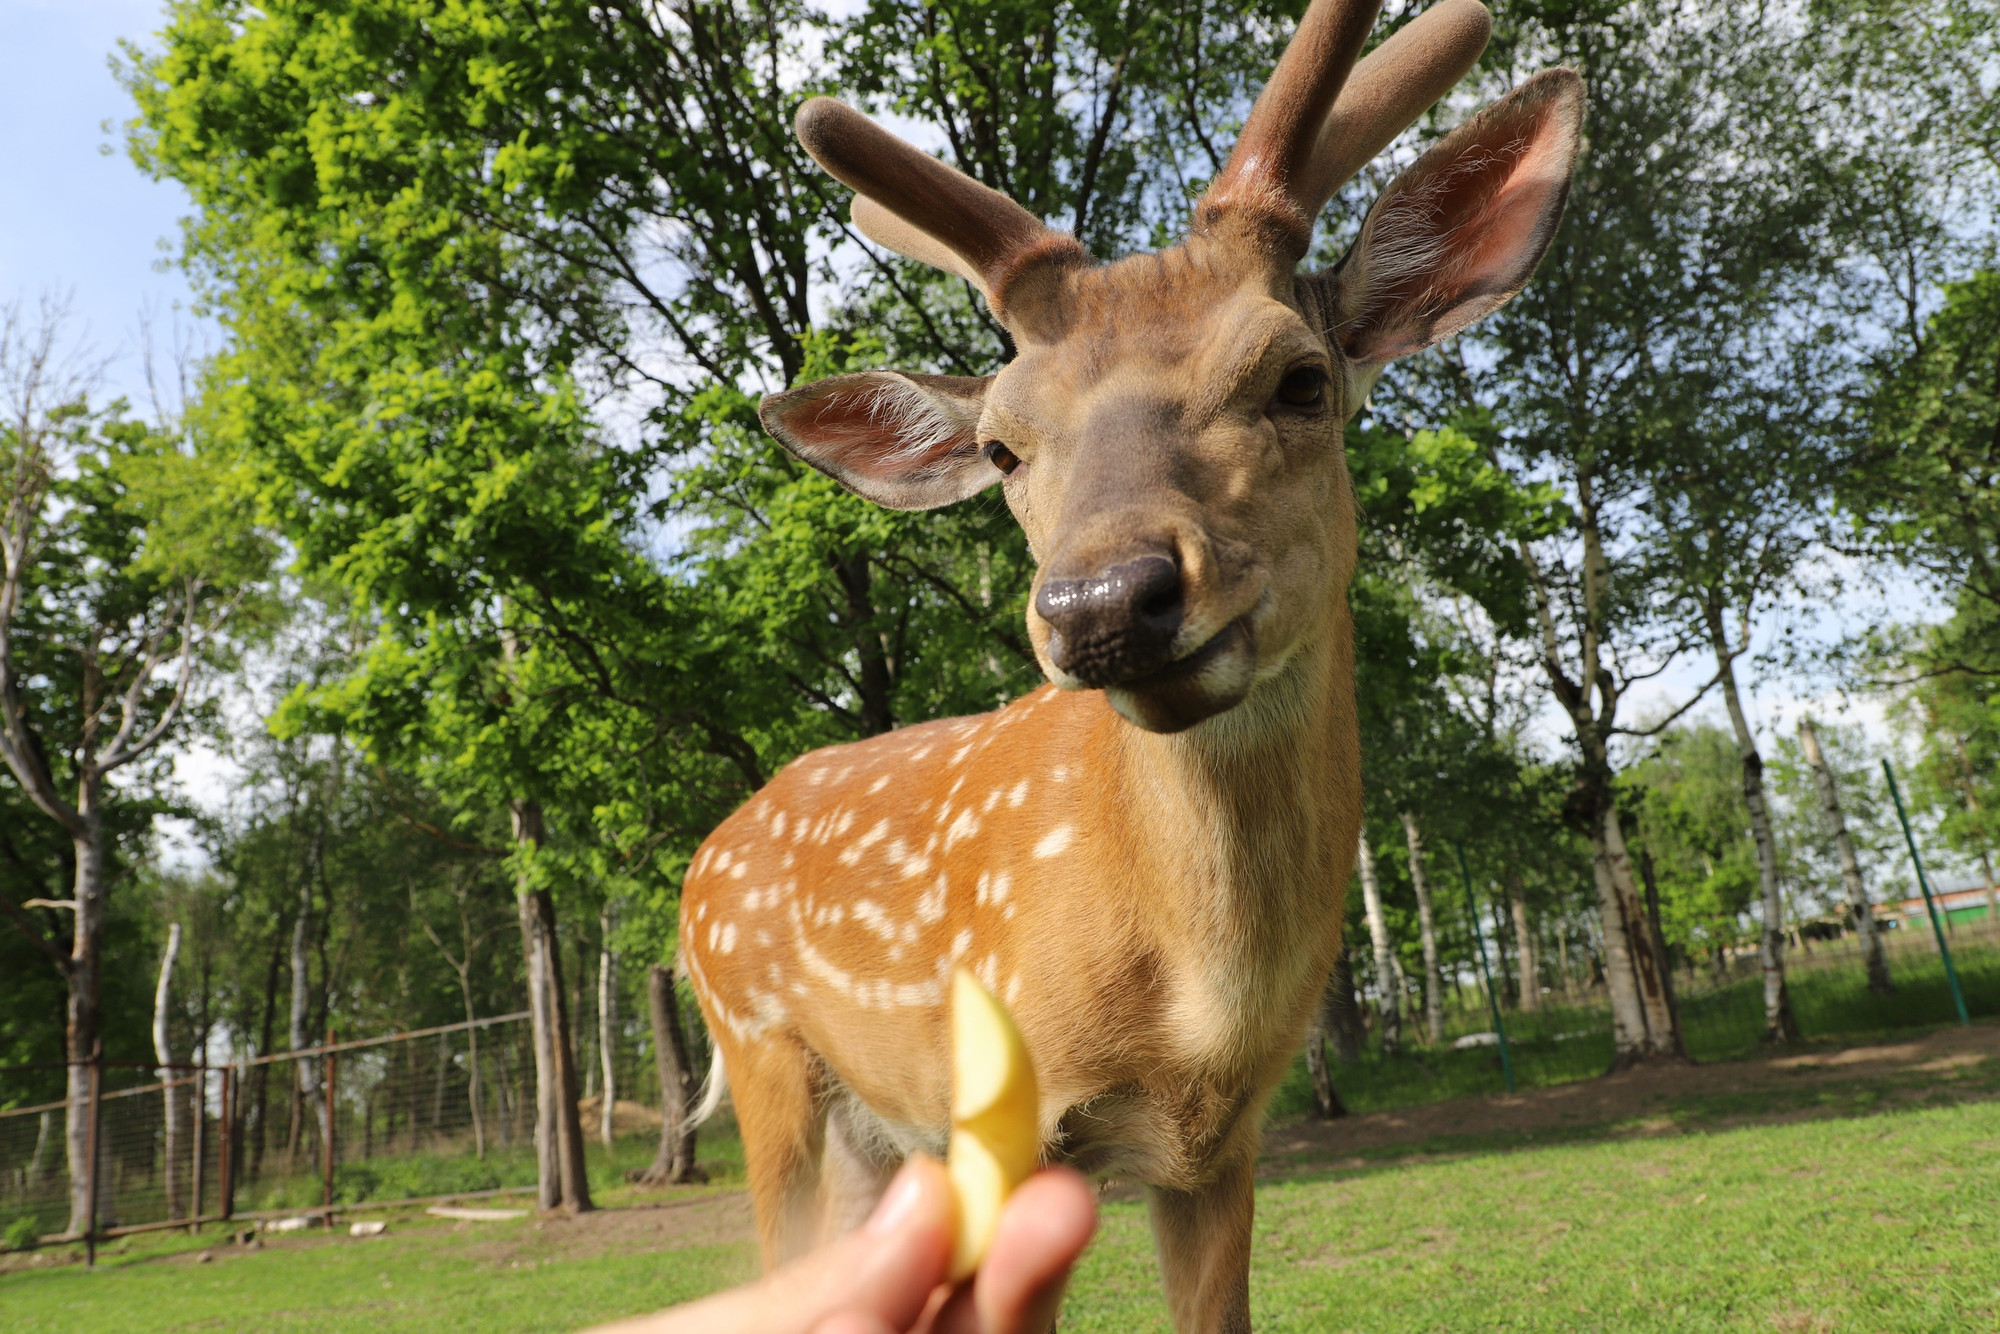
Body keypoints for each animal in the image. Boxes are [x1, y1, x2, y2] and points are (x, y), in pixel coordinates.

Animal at [680, 2, 1584, 1328]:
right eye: (1002, 447)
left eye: (1298, 378)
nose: (1103, 602)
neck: (1197, 1005)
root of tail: (704, 856)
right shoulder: (1006, 1121)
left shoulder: (1220, 1143)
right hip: (761, 1056)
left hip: (868, 1127)